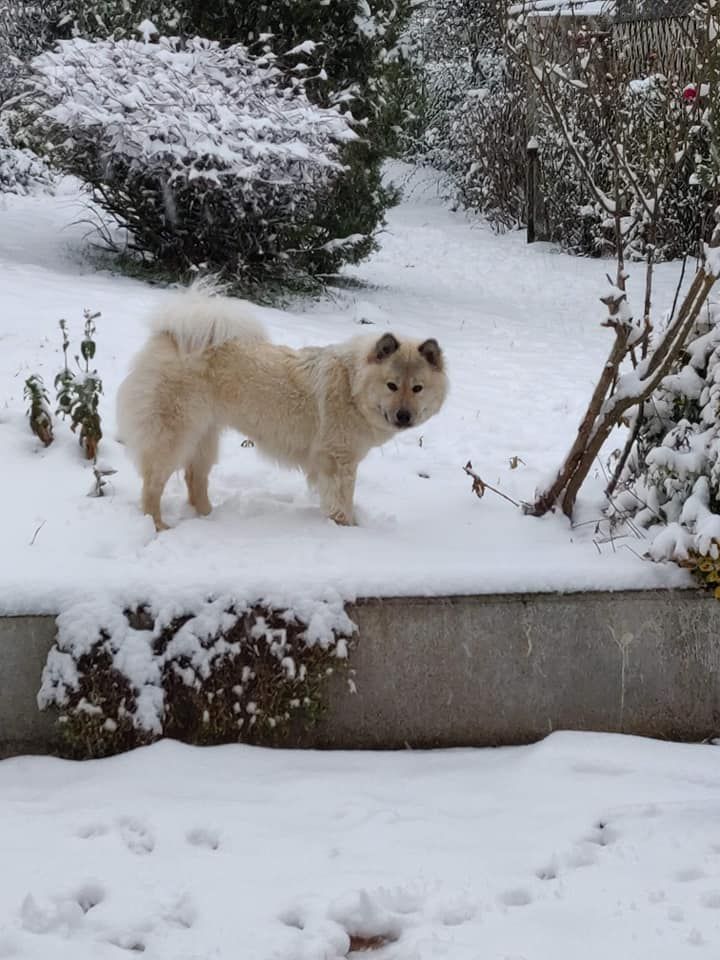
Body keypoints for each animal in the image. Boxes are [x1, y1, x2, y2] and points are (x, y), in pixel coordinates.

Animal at [116, 284, 448, 532]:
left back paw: (209, 518)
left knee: (194, 479)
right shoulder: (338, 461)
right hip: (175, 436)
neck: (352, 385)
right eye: (391, 385)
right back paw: (158, 526)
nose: (404, 416)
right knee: (153, 485)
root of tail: (169, 336)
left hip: (205, 436)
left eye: (417, 388)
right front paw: (347, 528)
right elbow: (342, 500)